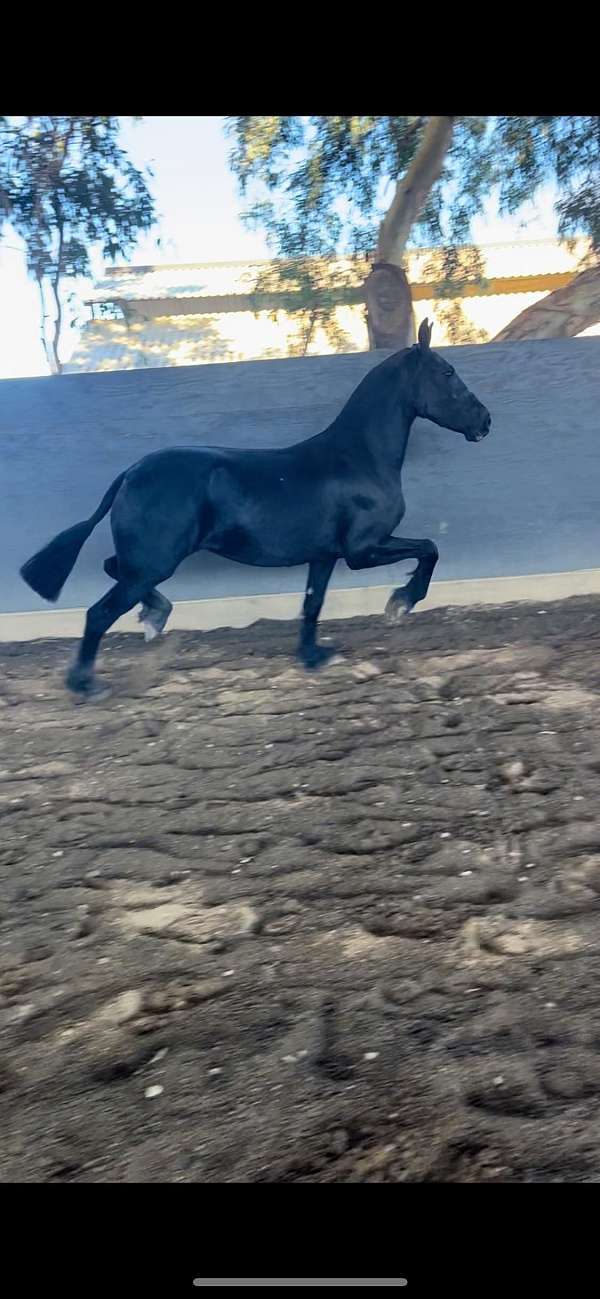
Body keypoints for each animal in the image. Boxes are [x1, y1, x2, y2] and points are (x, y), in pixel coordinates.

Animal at [20, 319, 491, 698]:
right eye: (447, 372)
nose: (485, 421)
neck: (359, 459)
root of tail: (131, 472)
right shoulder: (363, 550)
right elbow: (429, 548)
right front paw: (401, 603)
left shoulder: (325, 556)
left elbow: (312, 604)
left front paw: (313, 656)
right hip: (156, 561)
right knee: (99, 611)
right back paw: (86, 683)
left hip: (149, 561)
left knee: (112, 569)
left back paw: (155, 617)